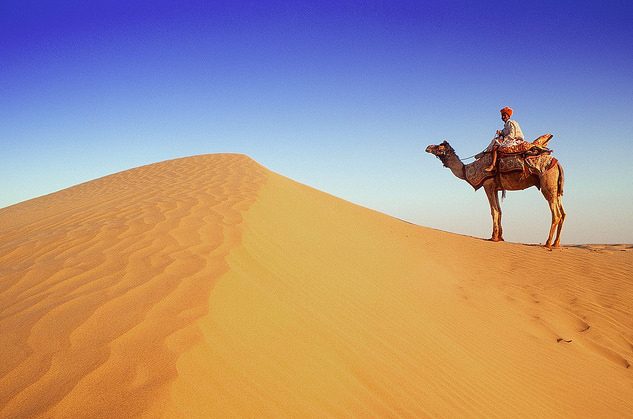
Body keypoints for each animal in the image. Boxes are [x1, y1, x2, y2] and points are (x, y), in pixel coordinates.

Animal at [424, 143, 564, 249]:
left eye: (440, 147)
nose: (428, 147)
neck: (467, 170)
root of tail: (558, 164)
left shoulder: (488, 185)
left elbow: (494, 211)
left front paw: (493, 237)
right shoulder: (496, 188)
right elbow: (500, 211)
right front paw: (500, 237)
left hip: (547, 184)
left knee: (556, 214)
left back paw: (547, 243)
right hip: (557, 189)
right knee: (563, 213)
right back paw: (556, 244)